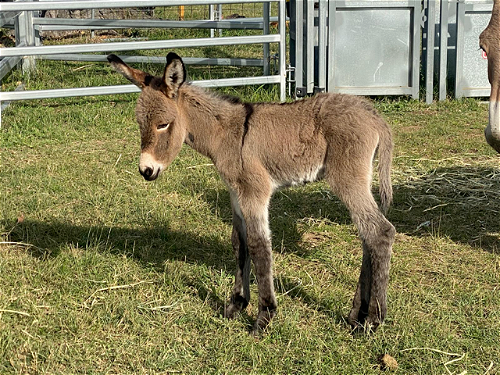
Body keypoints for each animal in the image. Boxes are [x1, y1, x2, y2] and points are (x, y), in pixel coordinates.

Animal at [108, 53, 394, 334]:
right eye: (140, 124)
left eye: (163, 125)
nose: (146, 170)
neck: (227, 134)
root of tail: (375, 116)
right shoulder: (235, 193)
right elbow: (239, 244)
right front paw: (236, 305)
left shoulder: (254, 191)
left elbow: (259, 246)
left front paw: (264, 316)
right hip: (359, 180)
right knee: (367, 236)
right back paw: (357, 314)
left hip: (347, 179)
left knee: (380, 232)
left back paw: (374, 319)